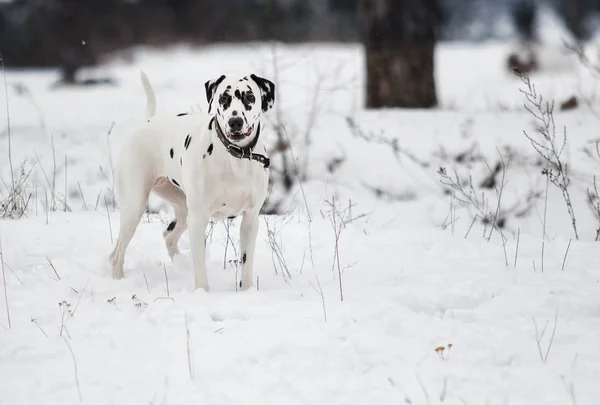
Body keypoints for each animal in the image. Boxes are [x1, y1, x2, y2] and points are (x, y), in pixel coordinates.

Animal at [109, 70, 274, 290]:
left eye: (249, 97)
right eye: (223, 98)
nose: (235, 121)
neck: (235, 158)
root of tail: (147, 122)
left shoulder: (250, 219)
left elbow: (246, 265)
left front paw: (247, 291)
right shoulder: (198, 220)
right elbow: (201, 269)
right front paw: (202, 293)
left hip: (183, 208)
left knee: (169, 237)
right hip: (134, 208)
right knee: (116, 254)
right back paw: (119, 281)